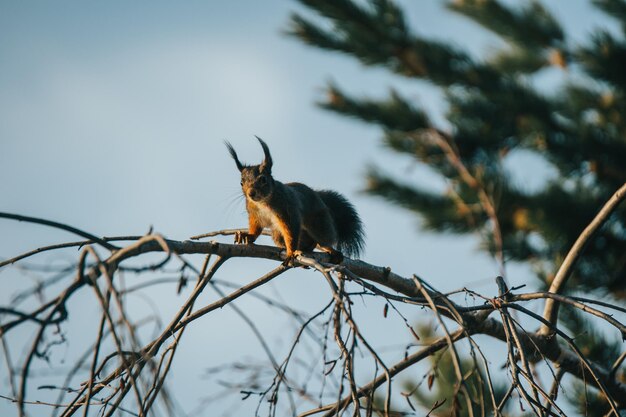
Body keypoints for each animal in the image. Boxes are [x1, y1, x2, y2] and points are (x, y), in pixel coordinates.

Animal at [224, 137, 364, 264]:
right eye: (241, 183)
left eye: (263, 179)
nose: (251, 193)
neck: (263, 202)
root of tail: (318, 196)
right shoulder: (255, 214)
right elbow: (256, 227)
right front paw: (247, 235)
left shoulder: (287, 210)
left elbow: (291, 232)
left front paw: (291, 252)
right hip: (278, 235)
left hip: (320, 224)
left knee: (322, 239)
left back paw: (327, 248)